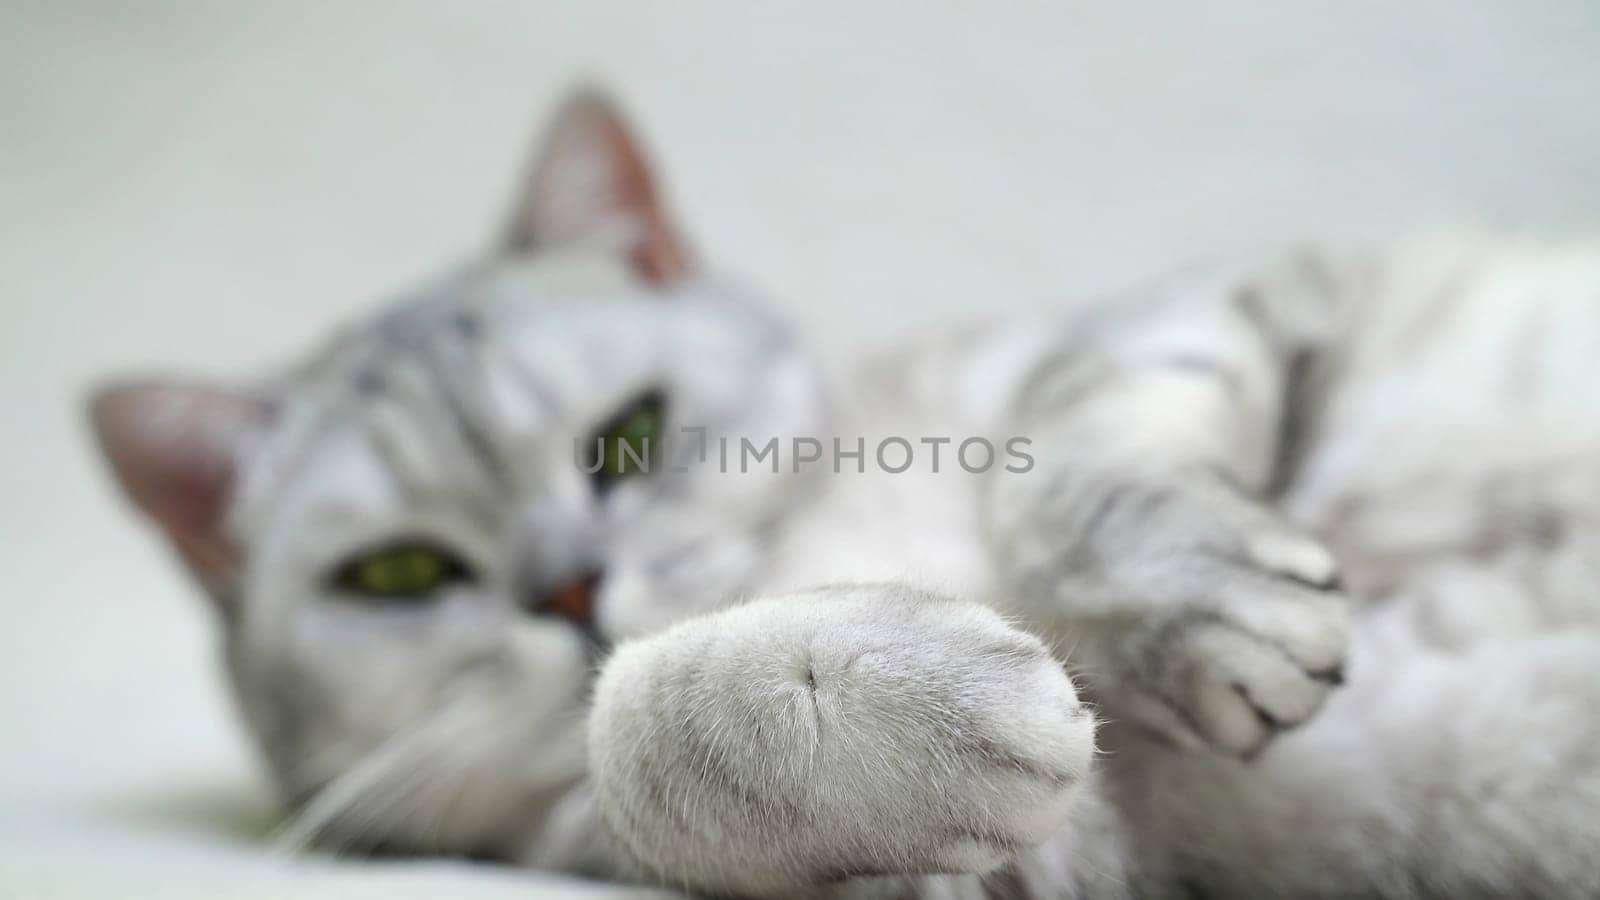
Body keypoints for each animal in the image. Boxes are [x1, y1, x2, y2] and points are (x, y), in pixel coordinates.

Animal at [90, 87, 1600, 890]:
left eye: (627, 441)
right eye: (400, 575)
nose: (567, 589)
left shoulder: (1190, 315)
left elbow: (1077, 471)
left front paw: (1202, 613)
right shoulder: (1054, 857)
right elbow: (637, 720)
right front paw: (932, 694)